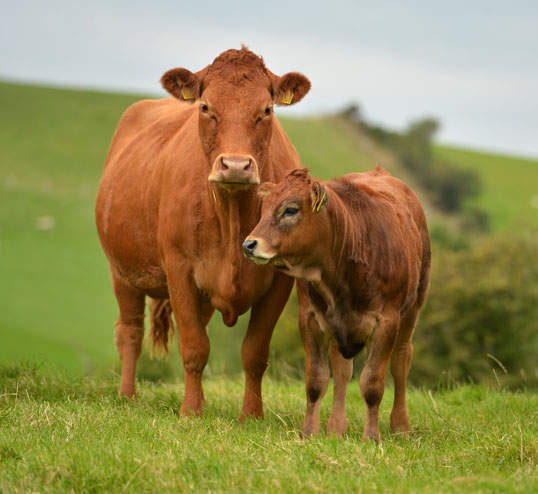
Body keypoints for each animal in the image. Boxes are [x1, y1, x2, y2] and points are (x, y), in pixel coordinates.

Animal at [94, 46, 308, 418]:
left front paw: (251, 416)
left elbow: (254, 353)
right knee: (130, 332)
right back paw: (127, 396)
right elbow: (194, 348)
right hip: (121, 271)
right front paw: (191, 412)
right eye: (206, 107)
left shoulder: (280, 281)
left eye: (266, 110)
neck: (231, 217)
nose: (235, 165)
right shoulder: (178, 270)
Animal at [243, 167, 432, 440]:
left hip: (414, 305)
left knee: (401, 360)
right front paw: (308, 433)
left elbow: (372, 384)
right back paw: (336, 428)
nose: (249, 244)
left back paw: (400, 427)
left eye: (290, 209)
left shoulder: (386, 321)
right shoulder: (310, 318)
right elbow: (316, 381)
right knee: (342, 370)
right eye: (263, 209)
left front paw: (371, 437)